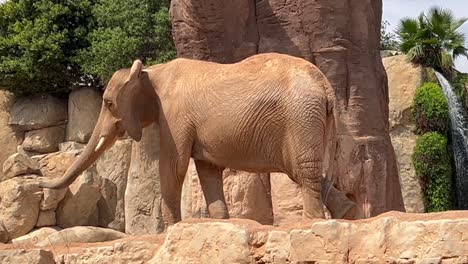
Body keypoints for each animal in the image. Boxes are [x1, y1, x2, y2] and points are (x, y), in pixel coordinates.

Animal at [40, 52, 356, 227]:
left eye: (107, 103)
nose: (41, 183)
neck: (152, 71)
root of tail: (326, 85)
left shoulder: (174, 116)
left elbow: (174, 166)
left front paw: (170, 229)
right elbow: (207, 169)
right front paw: (221, 221)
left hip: (301, 118)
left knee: (304, 171)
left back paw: (313, 221)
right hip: (309, 120)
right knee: (312, 173)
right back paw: (348, 213)